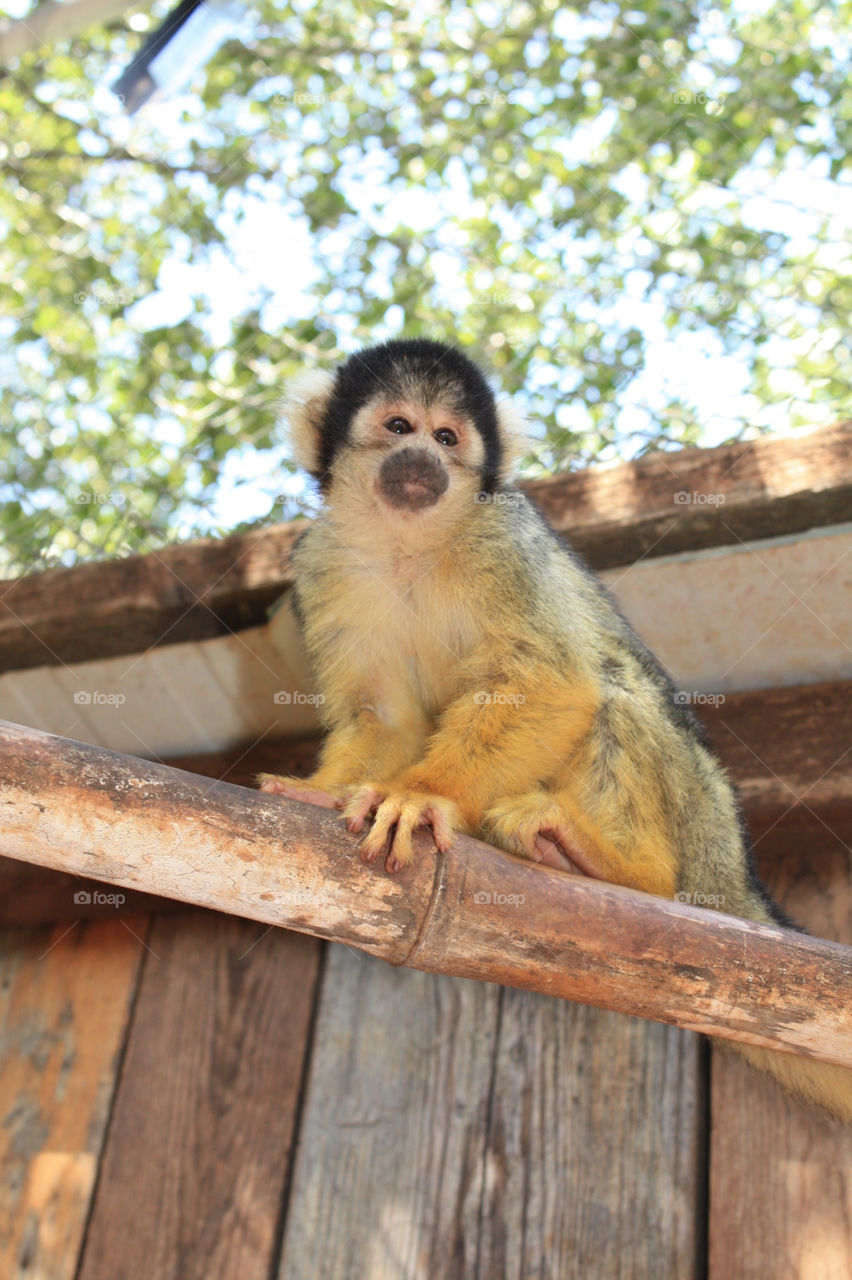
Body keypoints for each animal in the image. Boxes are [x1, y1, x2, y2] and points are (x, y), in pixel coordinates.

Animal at [258, 335, 849, 1126]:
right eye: (399, 426)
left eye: (448, 438)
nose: (423, 461)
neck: (408, 538)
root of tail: (735, 873)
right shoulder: (323, 562)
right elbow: (382, 714)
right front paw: (324, 791)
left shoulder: (502, 535)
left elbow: (556, 680)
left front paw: (421, 795)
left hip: (703, 824)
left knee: (614, 687)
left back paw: (616, 863)